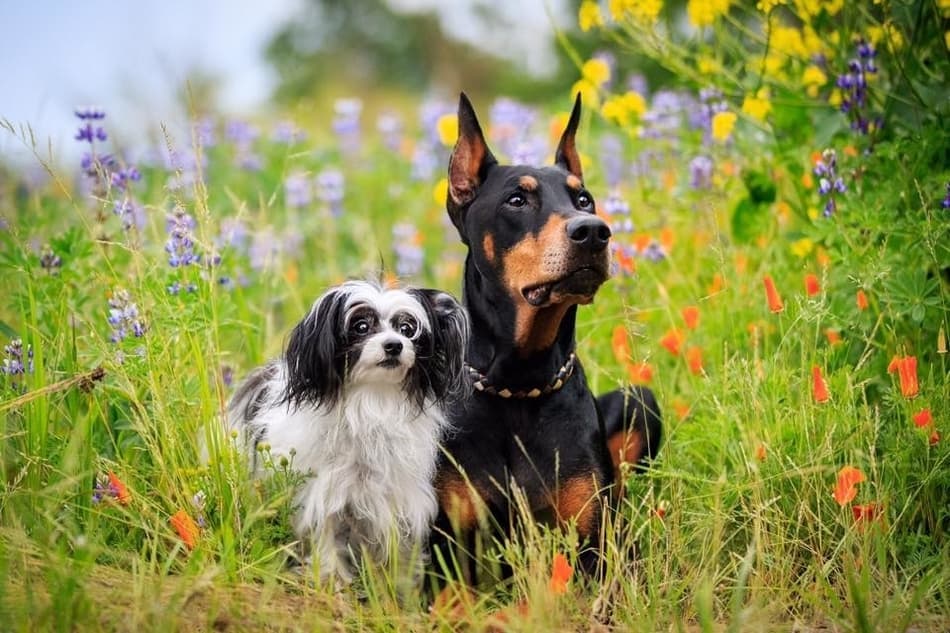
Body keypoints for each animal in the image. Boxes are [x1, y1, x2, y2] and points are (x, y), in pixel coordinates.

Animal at [228, 282, 472, 584]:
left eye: (406, 329)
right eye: (361, 326)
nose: (394, 345)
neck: (372, 400)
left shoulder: (399, 500)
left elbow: (400, 549)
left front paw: (399, 586)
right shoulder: (324, 495)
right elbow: (328, 540)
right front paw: (333, 583)